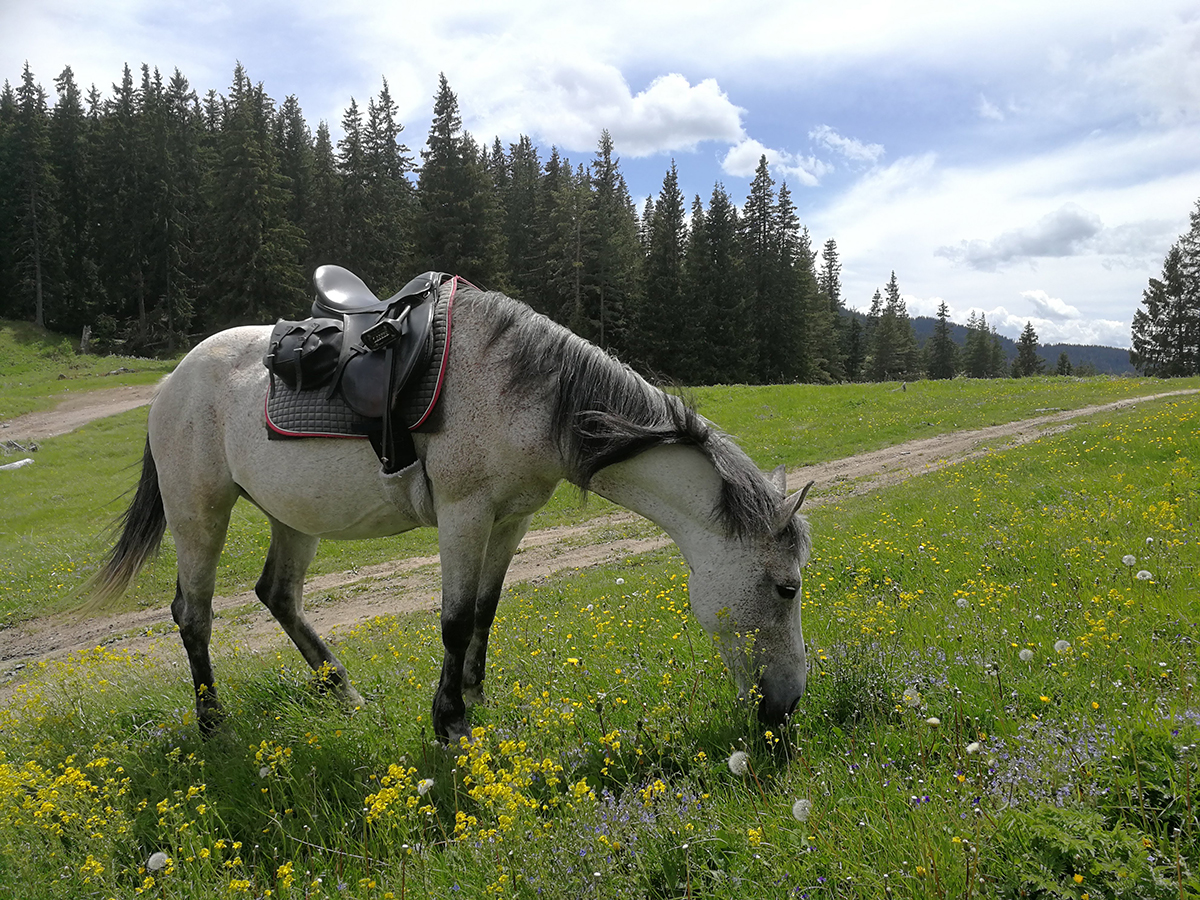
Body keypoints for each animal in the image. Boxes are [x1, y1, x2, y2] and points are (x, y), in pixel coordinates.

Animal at [88, 278, 811, 744]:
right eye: (786, 587)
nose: (786, 705)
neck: (530, 393)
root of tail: (171, 380)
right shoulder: (465, 515)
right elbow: (455, 621)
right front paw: (450, 721)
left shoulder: (511, 519)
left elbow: (486, 612)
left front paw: (476, 696)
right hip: (199, 514)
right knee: (193, 615)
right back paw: (214, 725)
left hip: (292, 516)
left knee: (278, 595)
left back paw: (345, 693)